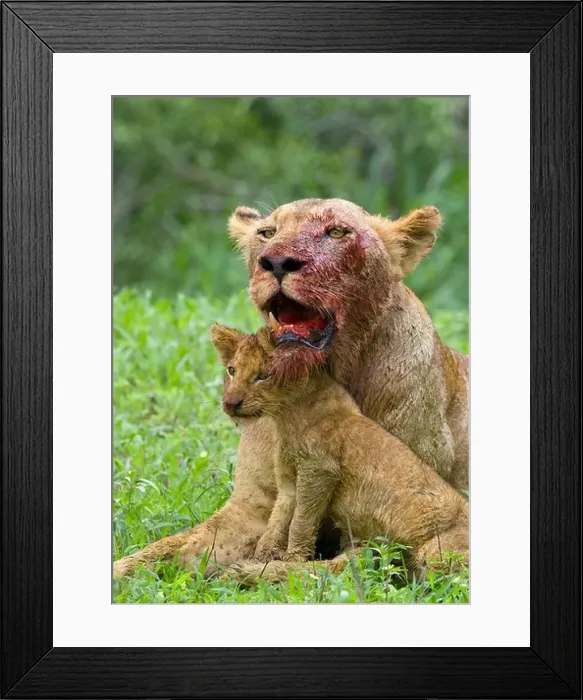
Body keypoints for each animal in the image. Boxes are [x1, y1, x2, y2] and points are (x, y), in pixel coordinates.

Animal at [113, 198, 468, 580]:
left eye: (337, 232)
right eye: (267, 233)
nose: (277, 262)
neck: (299, 399)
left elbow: (326, 567)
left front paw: (252, 572)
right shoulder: (254, 504)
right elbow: (168, 546)